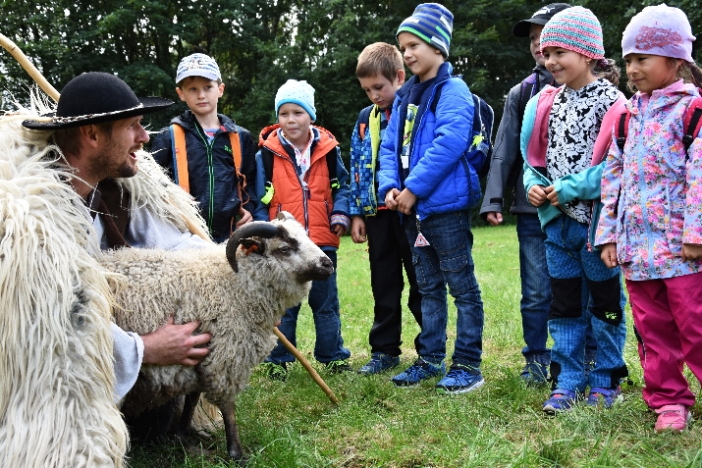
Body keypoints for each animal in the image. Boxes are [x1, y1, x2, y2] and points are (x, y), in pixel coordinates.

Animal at [99, 214, 338, 462]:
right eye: (284, 248)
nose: (327, 264)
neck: (234, 283)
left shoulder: (201, 354)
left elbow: (193, 397)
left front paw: (183, 435)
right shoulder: (226, 356)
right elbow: (228, 406)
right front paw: (237, 453)